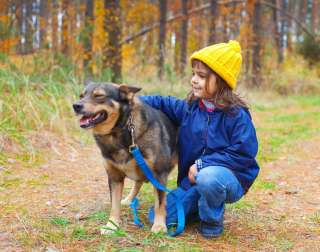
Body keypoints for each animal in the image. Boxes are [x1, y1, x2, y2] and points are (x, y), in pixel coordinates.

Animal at [73, 81, 178, 233]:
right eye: (81, 96)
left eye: (99, 96)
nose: (76, 106)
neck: (119, 131)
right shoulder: (114, 177)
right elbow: (114, 205)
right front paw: (112, 225)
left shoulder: (159, 174)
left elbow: (159, 203)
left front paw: (159, 226)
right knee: (138, 182)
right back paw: (129, 199)